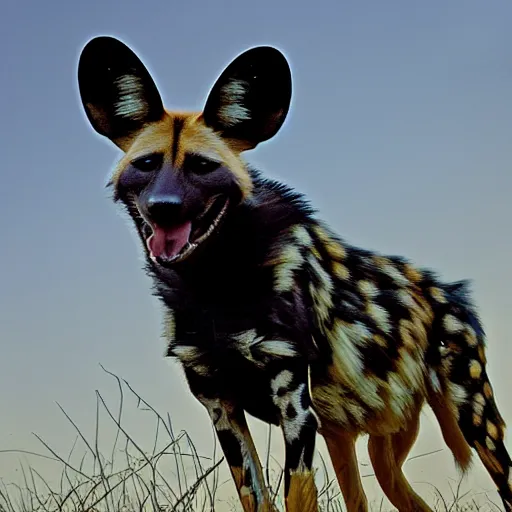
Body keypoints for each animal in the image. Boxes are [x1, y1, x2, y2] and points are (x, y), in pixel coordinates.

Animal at [77, 37, 512, 512]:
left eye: (202, 166)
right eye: (148, 164)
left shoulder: (295, 407)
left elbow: (296, 495)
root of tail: (452, 293)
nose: (163, 207)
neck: (214, 286)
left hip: (477, 421)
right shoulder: (222, 408)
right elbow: (256, 496)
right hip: (364, 446)